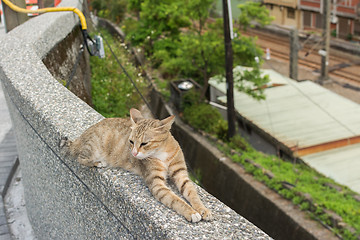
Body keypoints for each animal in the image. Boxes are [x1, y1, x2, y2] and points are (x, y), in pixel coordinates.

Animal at [61, 109, 212, 223]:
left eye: (144, 143)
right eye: (131, 141)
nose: (133, 153)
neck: (163, 154)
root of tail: (80, 137)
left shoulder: (181, 175)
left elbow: (192, 193)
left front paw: (202, 209)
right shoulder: (157, 184)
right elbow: (176, 200)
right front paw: (191, 212)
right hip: (92, 148)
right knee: (80, 158)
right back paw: (97, 163)